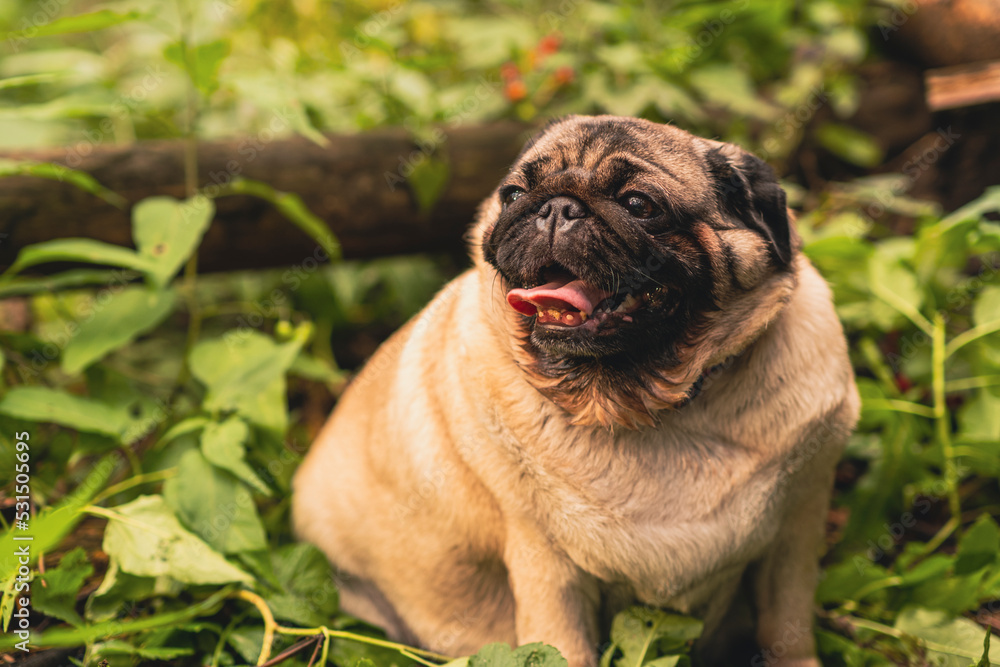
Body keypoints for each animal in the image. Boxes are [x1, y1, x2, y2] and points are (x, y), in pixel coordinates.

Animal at [292, 116, 860, 667]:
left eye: (639, 205)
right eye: (513, 194)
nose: (556, 207)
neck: (643, 406)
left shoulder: (794, 534)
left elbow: (786, 631)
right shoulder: (547, 568)